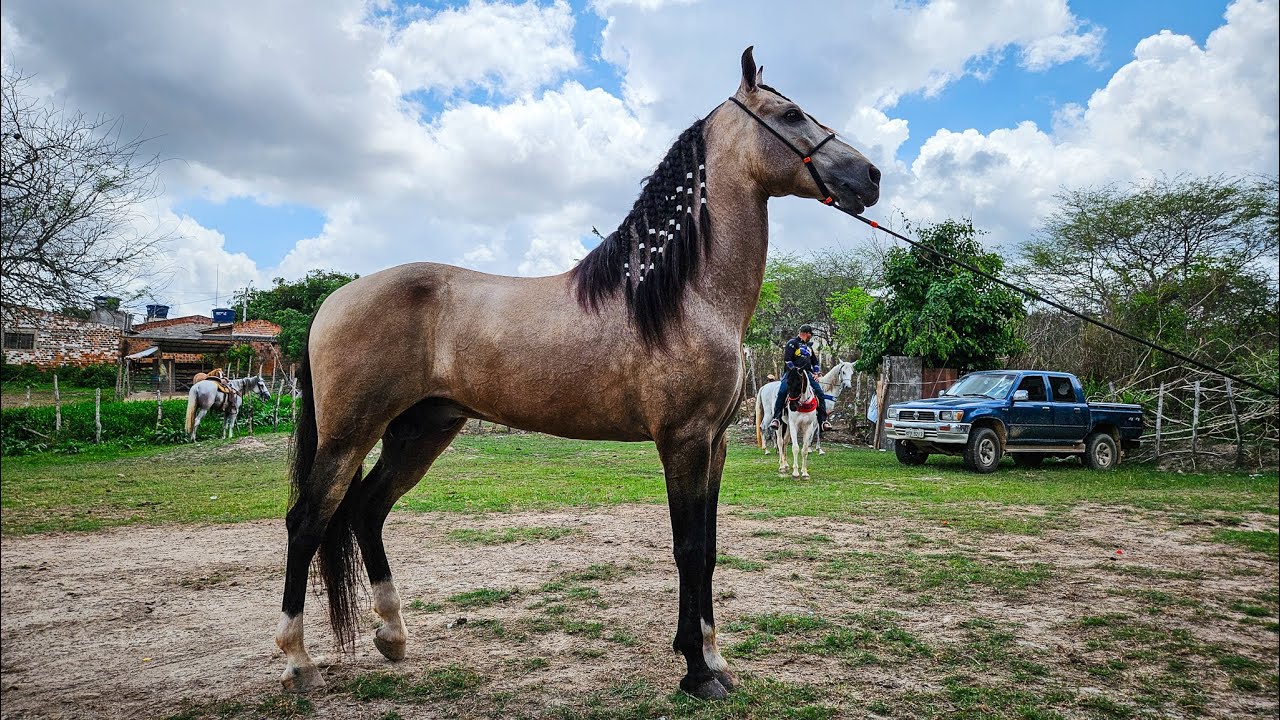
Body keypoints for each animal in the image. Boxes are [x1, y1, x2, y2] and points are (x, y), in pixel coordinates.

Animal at [275, 47, 880, 700]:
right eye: (791, 115)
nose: (870, 176)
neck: (682, 295)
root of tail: (334, 300)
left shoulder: (714, 446)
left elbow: (711, 550)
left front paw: (714, 658)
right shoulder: (683, 443)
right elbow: (689, 549)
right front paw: (696, 670)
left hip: (421, 431)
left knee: (366, 510)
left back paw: (392, 636)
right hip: (348, 435)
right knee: (306, 522)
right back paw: (298, 662)